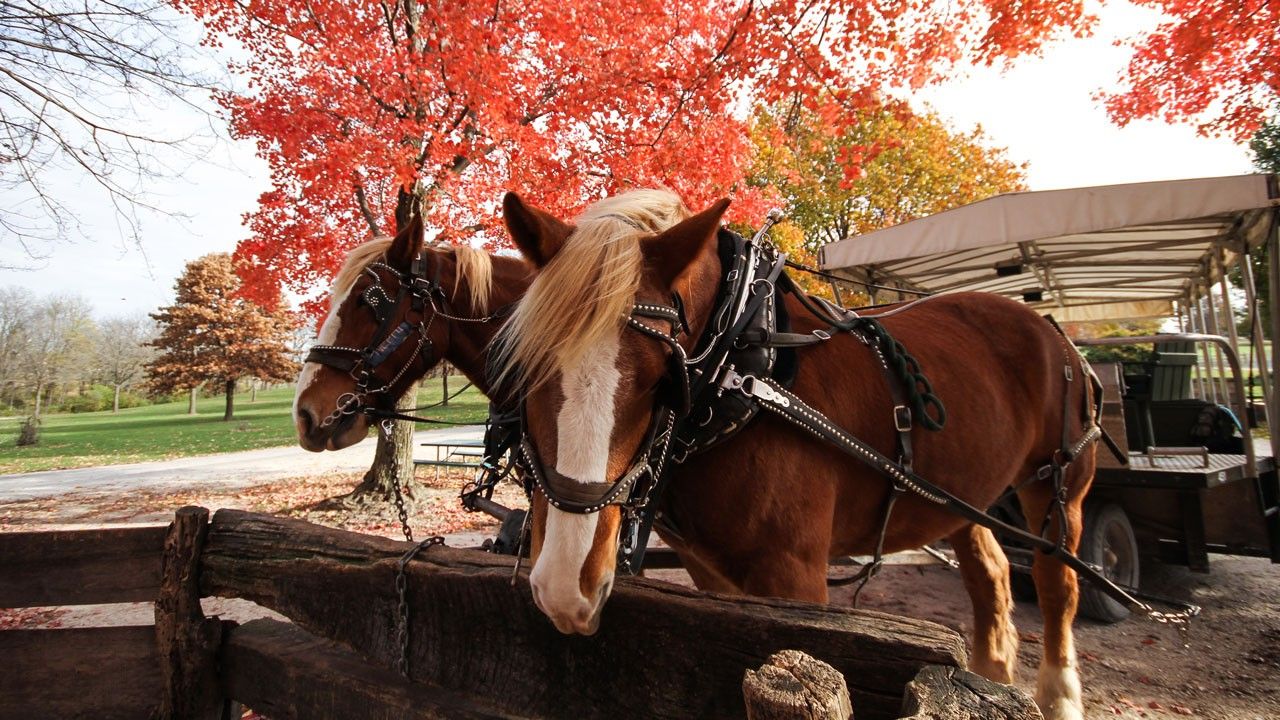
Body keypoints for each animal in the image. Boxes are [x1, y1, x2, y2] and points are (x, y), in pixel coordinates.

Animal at [494, 190, 1095, 717]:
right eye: (521, 368)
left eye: (666, 380)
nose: (566, 586)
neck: (740, 365)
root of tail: (1047, 325)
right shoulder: (709, 569)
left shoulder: (794, 578)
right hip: (962, 493)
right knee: (989, 574)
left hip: (1059, 485)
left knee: (1057, 583)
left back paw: (1059, 695)